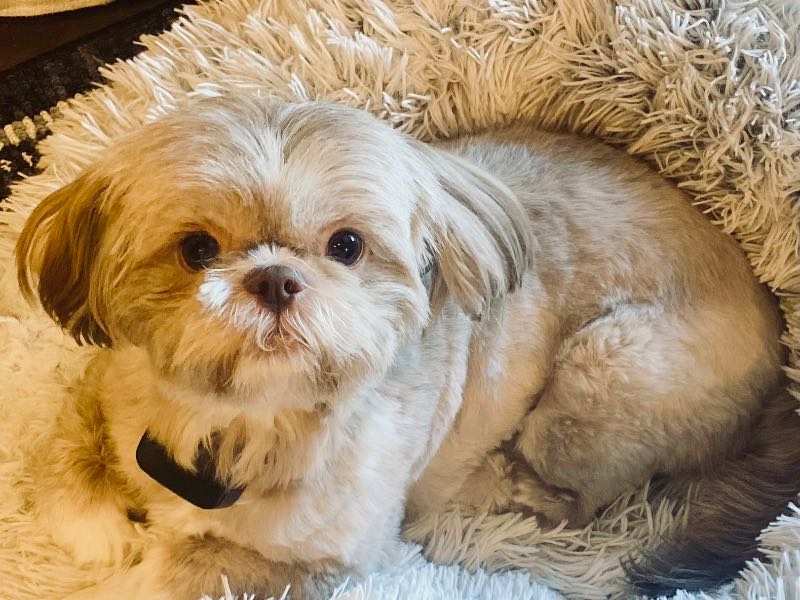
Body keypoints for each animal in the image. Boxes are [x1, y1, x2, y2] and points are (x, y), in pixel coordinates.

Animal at [15, 95, 800, 599]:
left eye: (347, 246)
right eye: (197, 249)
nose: (275, 278)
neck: (237, 420)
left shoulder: (325, 558)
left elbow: (186, 572)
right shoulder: (103, 381)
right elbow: (60, 441)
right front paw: (96, 525)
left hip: (600, 379)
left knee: (577, 501)